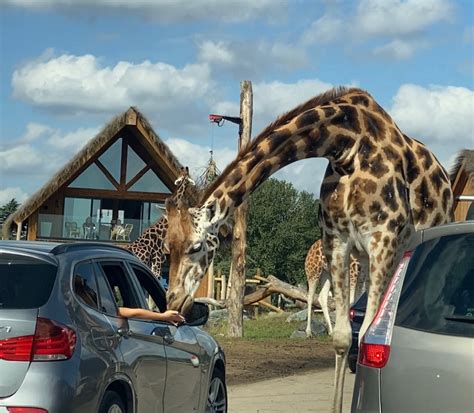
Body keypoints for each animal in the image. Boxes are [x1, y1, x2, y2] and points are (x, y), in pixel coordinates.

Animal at [165, 85, 454, 410]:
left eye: (196, 246)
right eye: (166, 249)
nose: (173, 301)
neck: (346, 145)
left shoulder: (382, 238)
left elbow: (367, 336)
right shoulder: (338, 241)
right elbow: (344, 337)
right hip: (366, 260)